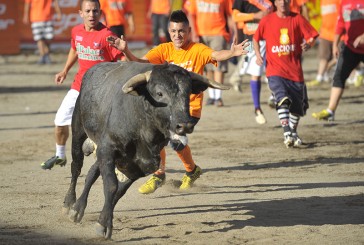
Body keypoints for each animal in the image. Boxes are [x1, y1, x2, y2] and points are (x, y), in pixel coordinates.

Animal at [61, 61, 229, 239]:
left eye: (188, 93)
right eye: (159, 93)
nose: (185, 125)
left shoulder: (141, 165)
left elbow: (118, 191)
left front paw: (103, 221)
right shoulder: (107, 149)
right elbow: (111, 185)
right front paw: (104, 226)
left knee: (92, 172)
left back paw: (78, 208)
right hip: (78, 130)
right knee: (76, 166)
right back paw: (69, 204)